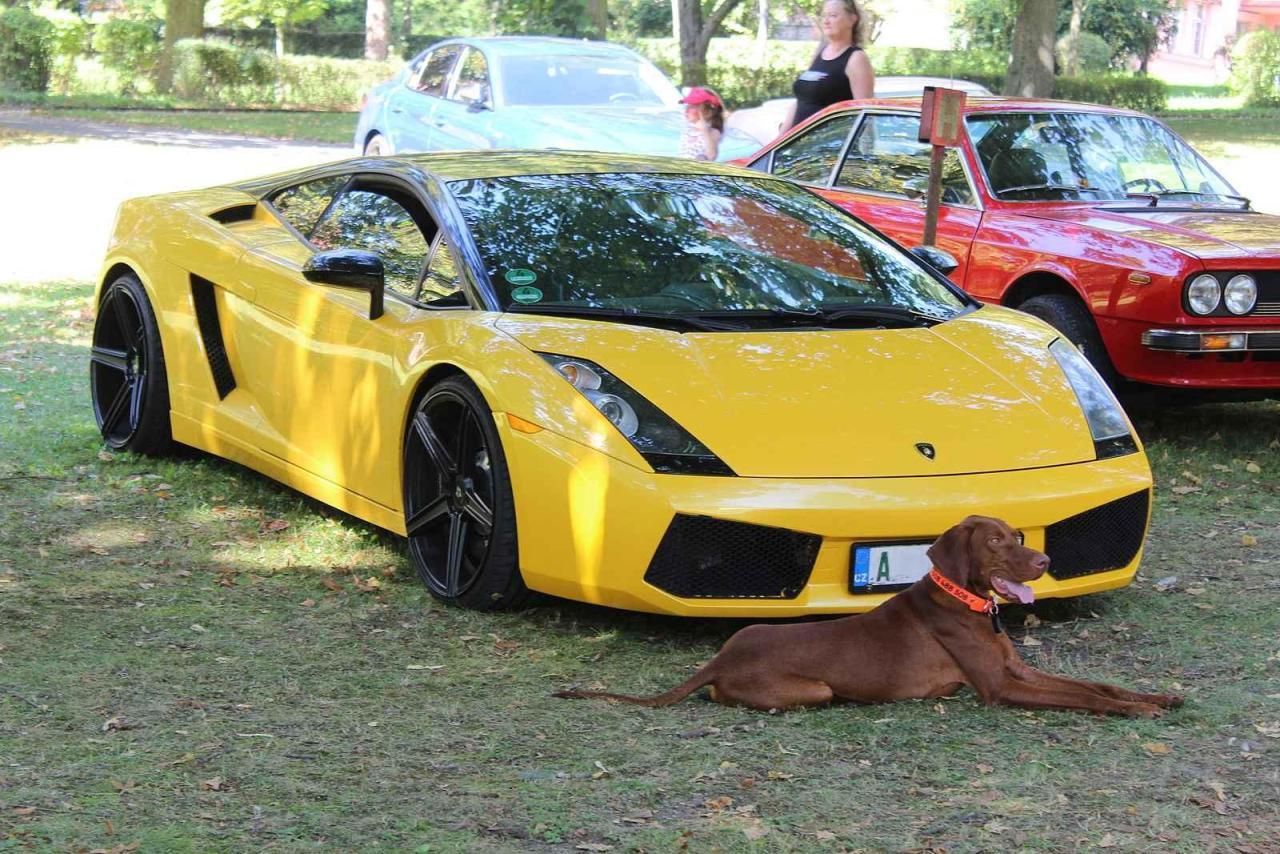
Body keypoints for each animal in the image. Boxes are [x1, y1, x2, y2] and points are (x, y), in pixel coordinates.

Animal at [555, 517, 1182, 717]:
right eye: (997, 541)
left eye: (1020, 536)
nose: (1046, 561)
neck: (968, 604)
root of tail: (717, 660)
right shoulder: (999, 688)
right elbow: (1084, 697)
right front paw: (1134, 711)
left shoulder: (1019, 671)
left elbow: (1096, 684)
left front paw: (1156, 697)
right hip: (814, 691)